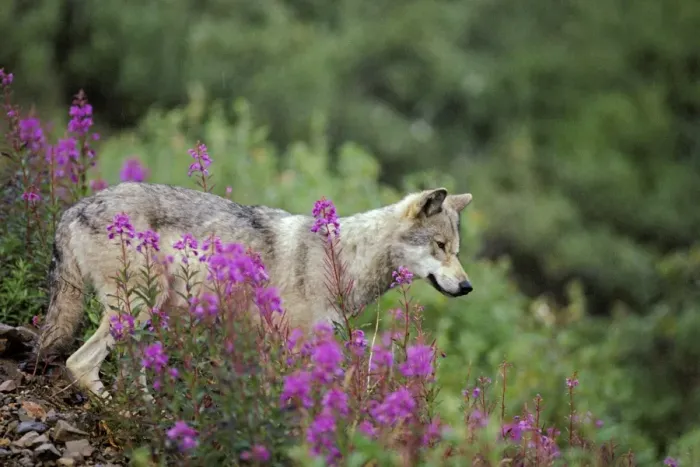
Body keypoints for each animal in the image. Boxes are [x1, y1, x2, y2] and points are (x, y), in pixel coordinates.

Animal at [34, 182, 474, 399]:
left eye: (457, 250)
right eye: (440, 246)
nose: (467, 286)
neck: (342, 259)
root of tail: (73, 208)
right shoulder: (285, 345)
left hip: (149, 316)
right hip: (138, 310)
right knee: (79, 364)